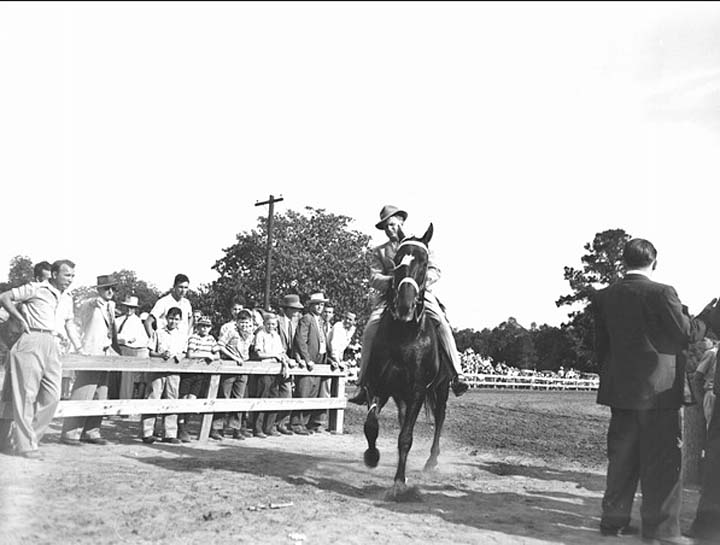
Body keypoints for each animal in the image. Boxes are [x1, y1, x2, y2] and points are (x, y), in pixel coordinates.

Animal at [362, 222, 448, 502]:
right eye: (397, 260)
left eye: (425, 261)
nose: (404, 306)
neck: (404, 335)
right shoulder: (377, 386)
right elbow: (371, 425)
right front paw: (372, 456)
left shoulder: (418, 392)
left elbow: (406, 438)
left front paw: (399, 482)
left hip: (441, 390)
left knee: (439, 419)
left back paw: (431, 461)